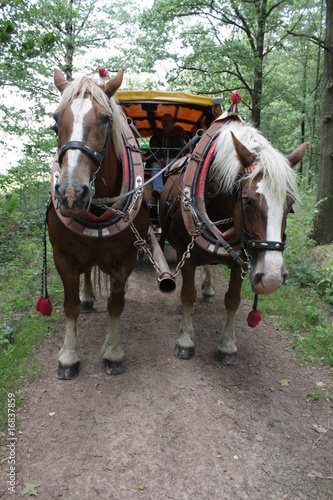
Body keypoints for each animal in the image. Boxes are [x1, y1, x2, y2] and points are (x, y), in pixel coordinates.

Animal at [48, 68, 148, 376]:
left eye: (105, 119)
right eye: (56, 120)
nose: (70, 193)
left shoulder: (126, 258)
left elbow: (116, 304)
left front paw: (113, 353)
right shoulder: (62, 257)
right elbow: (69, 305)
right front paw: (69, 355)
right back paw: (88, 297)